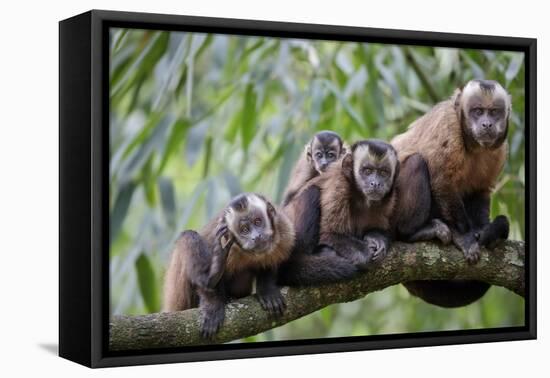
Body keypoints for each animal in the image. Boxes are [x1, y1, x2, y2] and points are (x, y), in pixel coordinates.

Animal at [163, 193, 296, 338]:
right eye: (245, 230)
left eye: (258, 222)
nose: (256, 236)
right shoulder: (223, 239)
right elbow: (205, 288)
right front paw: (212, 306)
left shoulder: (284, 230)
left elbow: (270, 262)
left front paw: (267, 290)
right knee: (187, 236)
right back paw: (211, 277)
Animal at [392, 79, 512, 308]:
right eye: (477, 111)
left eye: (494, 112)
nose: (486, 124)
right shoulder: (448, 126)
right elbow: (441, 180)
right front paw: (464, 236)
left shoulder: (500, 150)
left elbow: (480, 190)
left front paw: (482, 229)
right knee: (417, 163)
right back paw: (414, 233)